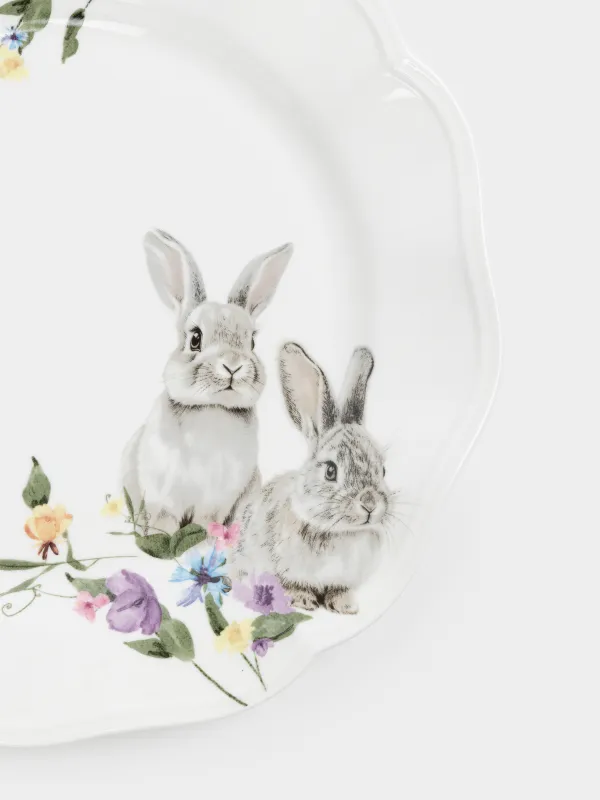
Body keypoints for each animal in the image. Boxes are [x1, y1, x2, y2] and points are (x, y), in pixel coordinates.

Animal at [121, 229, 294, 534]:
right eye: (195, 338)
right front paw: (161, 538)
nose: (233, 365)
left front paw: (207, 537)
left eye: (251, 342)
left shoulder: (218, 500)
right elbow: (164, 521)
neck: (212, 408)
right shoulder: (163, 496)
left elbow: (206, 520)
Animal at [237, 342, 391, 615]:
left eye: (383, 470)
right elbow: (292, 585)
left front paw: (345, 605)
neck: (342, 532)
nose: (370, 504)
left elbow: (339, 589)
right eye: (330, 471)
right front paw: (303, 601)